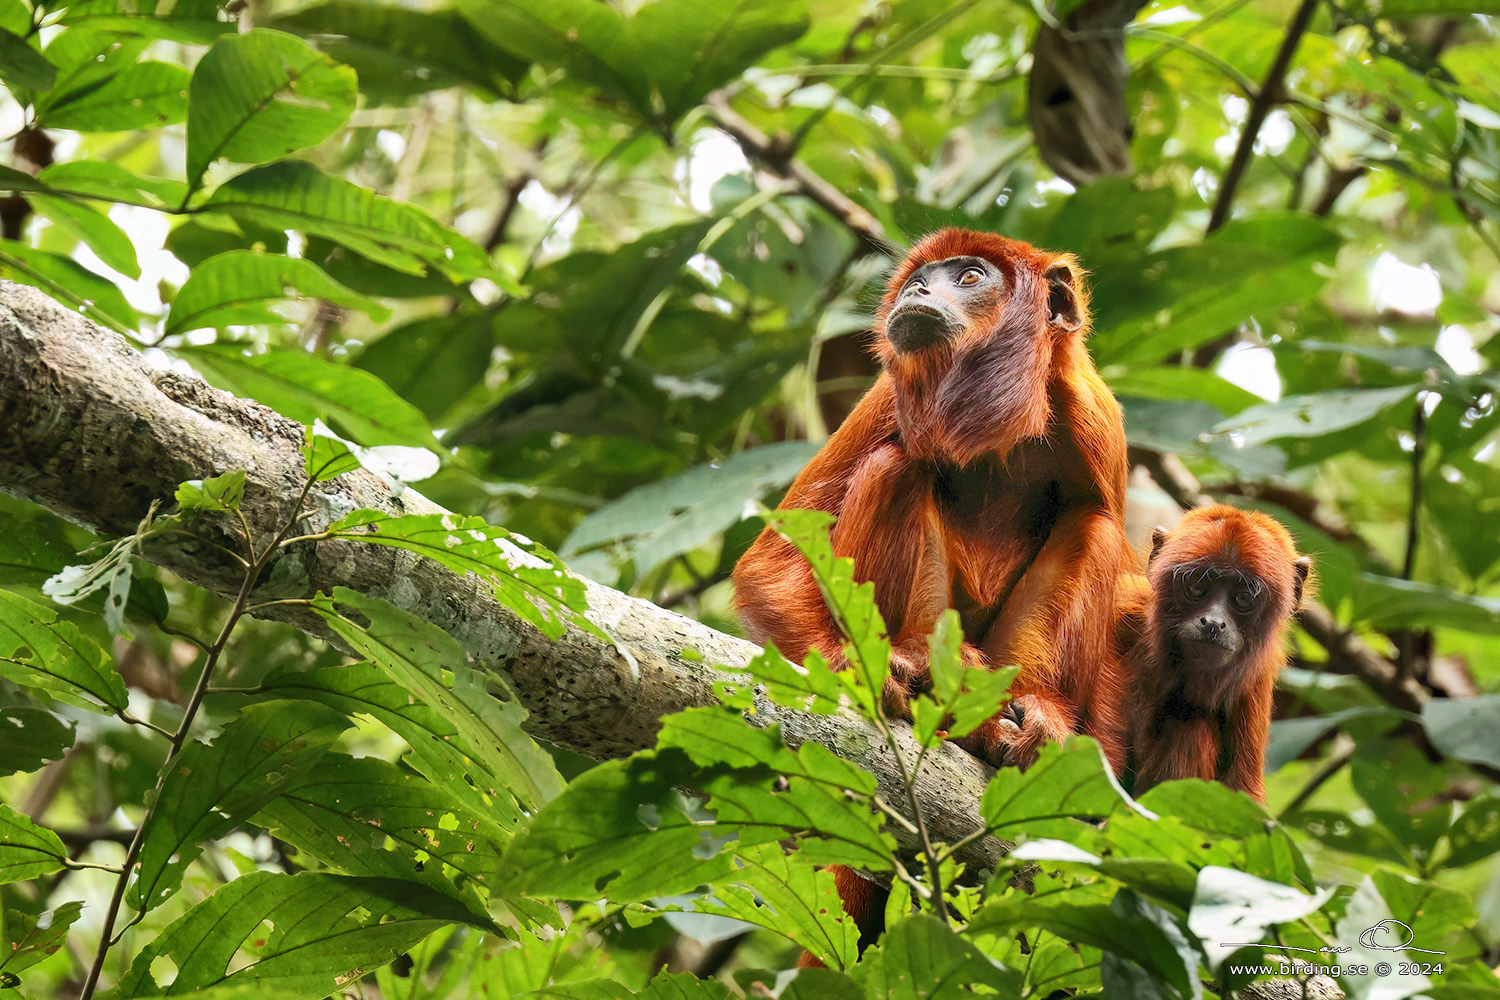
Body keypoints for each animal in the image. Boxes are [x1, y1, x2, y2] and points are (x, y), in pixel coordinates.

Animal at [732, 229, 1128, 773]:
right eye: (916, 281)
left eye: (970, 276)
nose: (915, 292)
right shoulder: (885, 399)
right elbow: (771, 563)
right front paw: (849, 667)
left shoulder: (1097, 422)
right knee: (894, 467)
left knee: (1096, 525)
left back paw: (1019, 717)